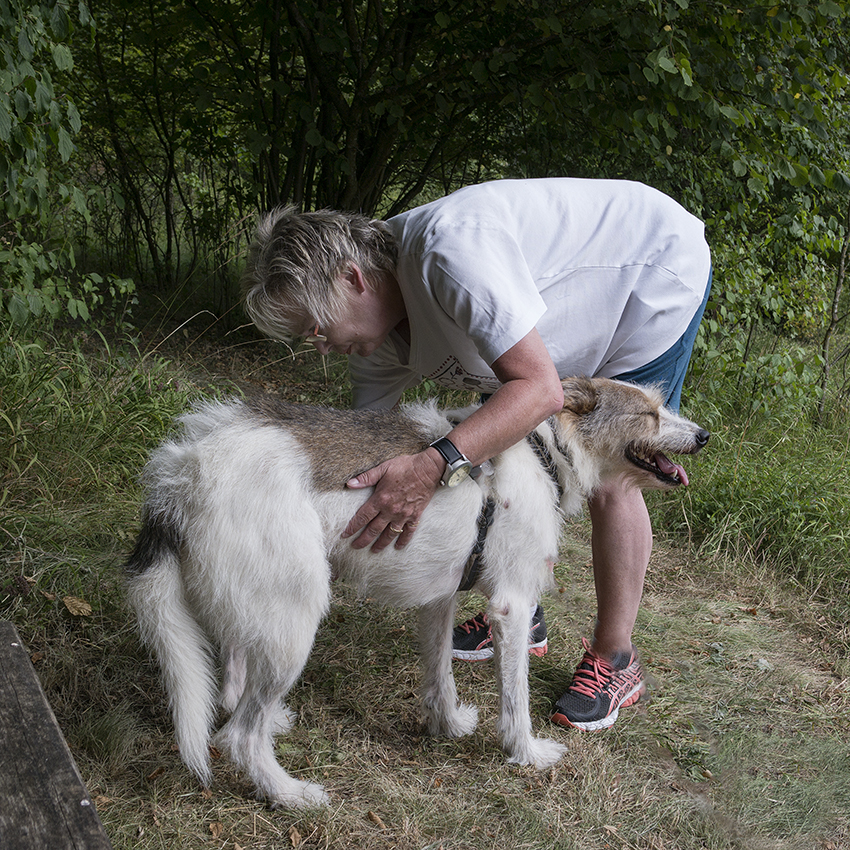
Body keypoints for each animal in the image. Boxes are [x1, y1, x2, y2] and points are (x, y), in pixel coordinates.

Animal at [124, 378, 708, 808]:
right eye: (650, 415)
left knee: (233, 685)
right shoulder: (512, 607)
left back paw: (273, 724)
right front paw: (525, 753)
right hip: (295, 621)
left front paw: (447, 726)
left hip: (260, 604)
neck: (546, 452)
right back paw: (289, 794)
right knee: (239, 736)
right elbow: (515, 698)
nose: (704, 436)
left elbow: (439, 674)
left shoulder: (440, 600)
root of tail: (182, 470)